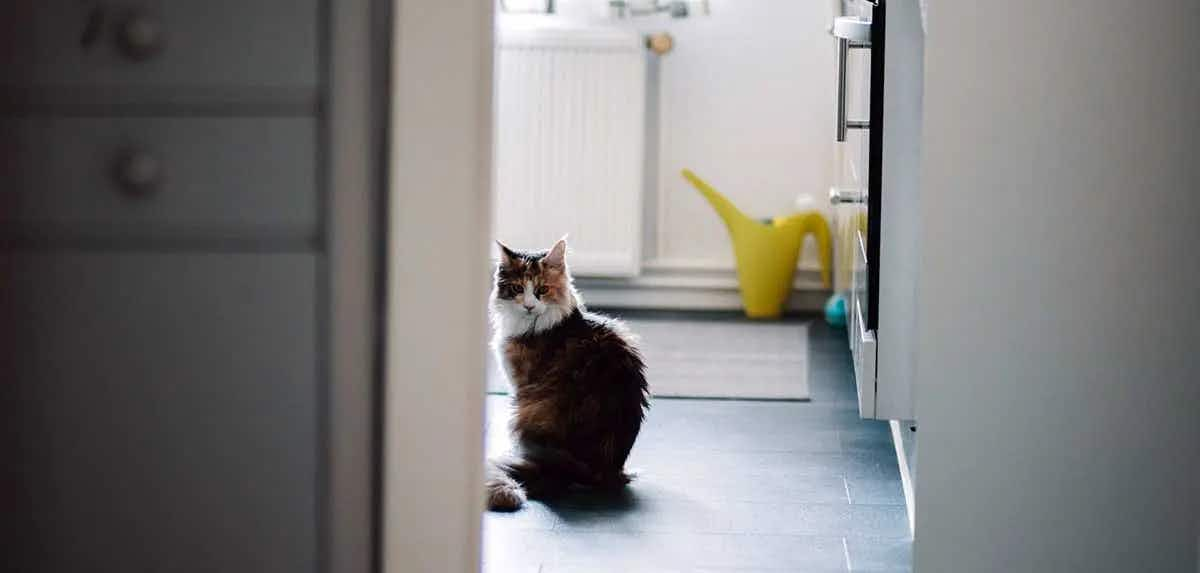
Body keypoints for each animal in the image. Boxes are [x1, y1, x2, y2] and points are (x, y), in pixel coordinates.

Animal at [487, 237, 652, 510]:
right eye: (517, 288)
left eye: (542, 289)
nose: (529, 306)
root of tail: (594, 468)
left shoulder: (520, 383)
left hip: (523, 410)